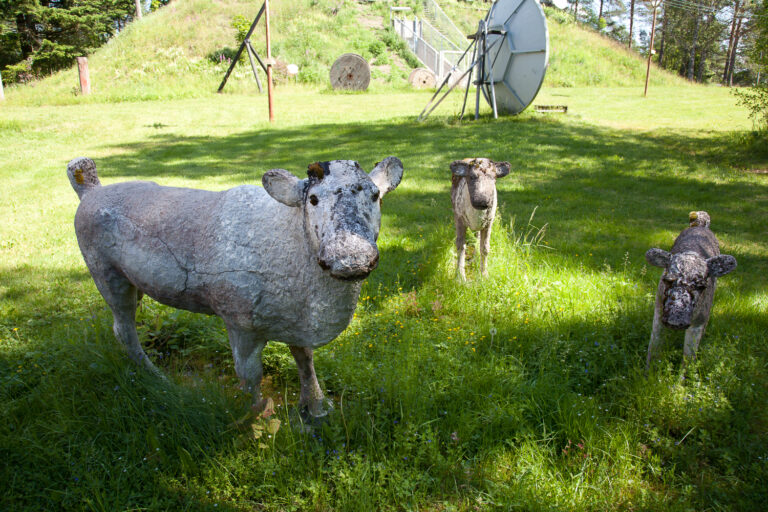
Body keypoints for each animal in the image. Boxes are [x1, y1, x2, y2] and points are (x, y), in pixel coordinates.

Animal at [67, 156, 403, 420]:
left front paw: (317, 408)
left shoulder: (296, 318)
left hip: (132, 282)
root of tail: (92, 189)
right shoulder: (239, 322)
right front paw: (259, 418)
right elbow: (250, 374)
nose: (350, 257)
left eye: (375, 195)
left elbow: (305, 360)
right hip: (106, 275)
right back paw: (156, 376)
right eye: (313, 199)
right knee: (123, 329)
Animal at [645, 211, 737, 369]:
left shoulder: (698, 323)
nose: (676, 320)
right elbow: (654, 347)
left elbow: (688, 359)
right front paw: (648, 371)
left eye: (701, 286)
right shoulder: (658, 312)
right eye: (667, 279)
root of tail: (701, 225)